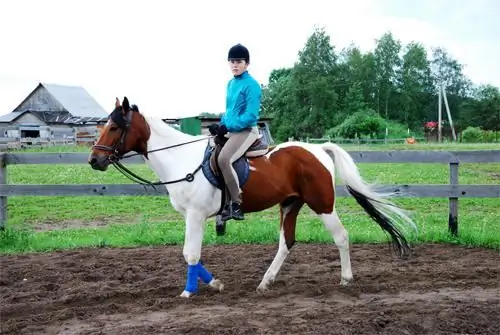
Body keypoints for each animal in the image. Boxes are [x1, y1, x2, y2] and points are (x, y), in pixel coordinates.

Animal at [88, 97, 416, 300]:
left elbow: (190, 254)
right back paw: (265, 282)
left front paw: (189, 292)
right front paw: (215, 283)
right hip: (290, 204)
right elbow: (192, 254)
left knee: (341, 237)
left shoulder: (195, 215)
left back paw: (346, 279)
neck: (181, 159)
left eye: (114, 127)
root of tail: (319, 149)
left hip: (322, 204)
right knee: (287, 242)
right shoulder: (192, 217)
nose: (94, 160)